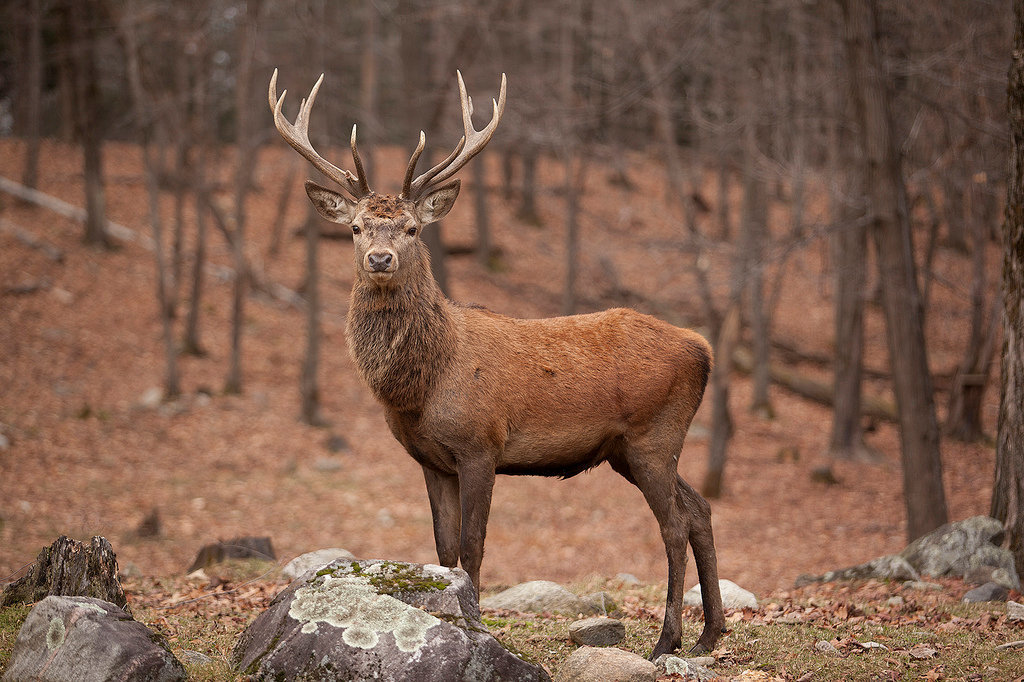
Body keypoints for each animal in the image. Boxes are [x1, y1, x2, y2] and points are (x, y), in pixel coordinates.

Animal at [268, 69, 724, 659]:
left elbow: (473, 546)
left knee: (672, 524)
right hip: (631, 448)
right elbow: (442, 552)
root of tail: (703, 348)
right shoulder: (431, 460)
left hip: (654, 435)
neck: (424, 385)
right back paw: (710, 633)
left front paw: (479, 624)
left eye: (412, 229)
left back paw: (667, 640)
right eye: (355, 228)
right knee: (700, 509)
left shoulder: (481, 443)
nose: (380, 259)